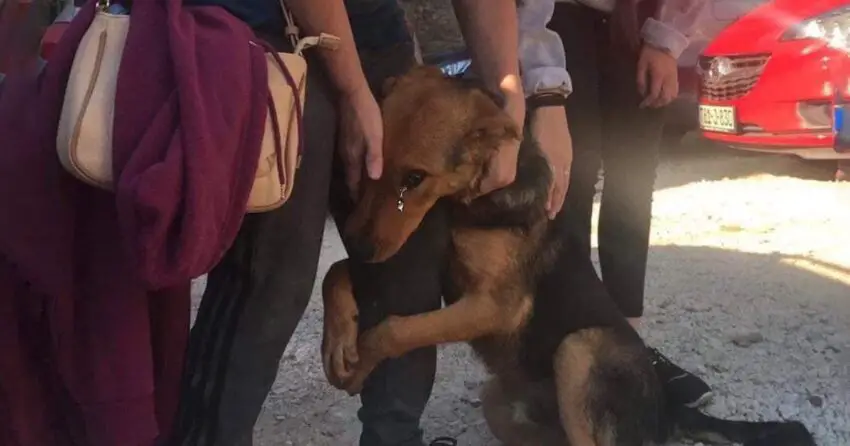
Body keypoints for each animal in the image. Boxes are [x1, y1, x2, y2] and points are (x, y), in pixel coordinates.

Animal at [320, 67, 816, 446]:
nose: (359, 243)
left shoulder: (493, 305)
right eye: (367, 164)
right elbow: (335, 273)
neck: (474, 199)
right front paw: (338, 343)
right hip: (500, 401)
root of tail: (668, 410)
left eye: (415, 178)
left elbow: (393, 330)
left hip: (579, 352)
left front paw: (358, 365)